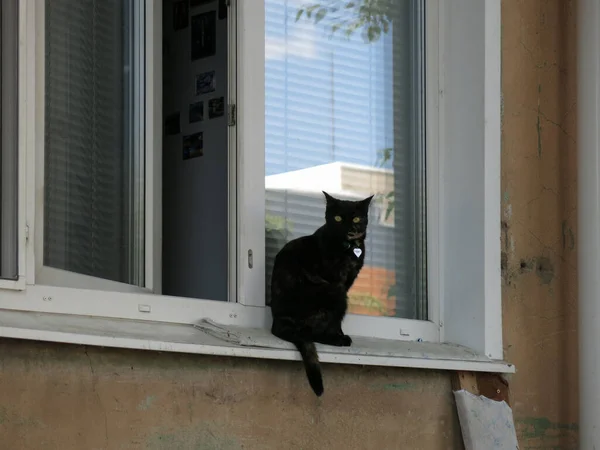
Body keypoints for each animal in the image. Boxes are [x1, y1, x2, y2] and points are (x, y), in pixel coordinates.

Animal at [270, 192, 372, 396]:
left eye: (356, 218)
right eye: (338, 218)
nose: (348, 227)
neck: (349, 249)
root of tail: (277, 322)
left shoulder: (348, 282)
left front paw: (340, 333)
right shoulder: (337, 283)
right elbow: (336, 320)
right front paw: (338, 335)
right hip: (332, 293)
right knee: (311, 332)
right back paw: (336, 339)